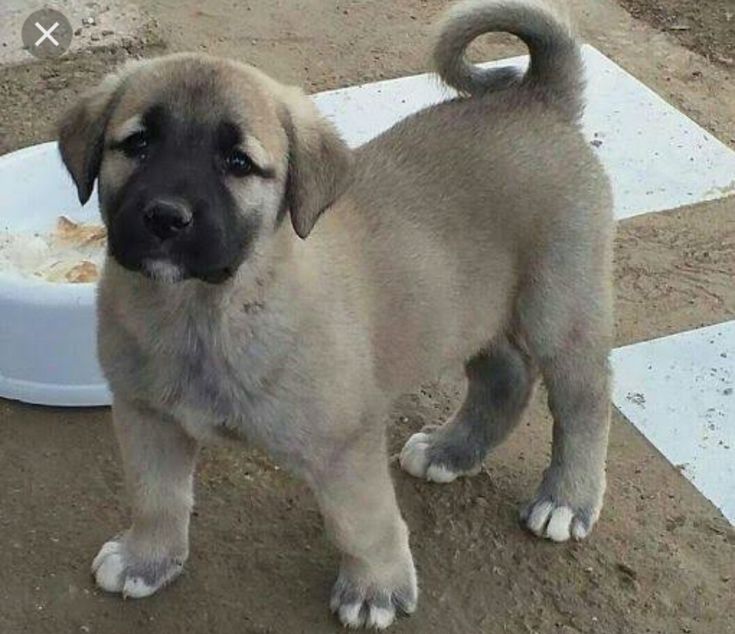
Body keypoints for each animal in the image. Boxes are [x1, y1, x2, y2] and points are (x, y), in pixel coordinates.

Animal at [57, 0, 612, 624]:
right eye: (138, 144)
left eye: (238, 162)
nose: (166, 217)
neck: (206, 310)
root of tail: (537, 97)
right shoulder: (146, 416)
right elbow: (157, 498)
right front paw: (146, 559)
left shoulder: (346, 442)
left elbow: (360, 523)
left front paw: (374, 589)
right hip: (472, 311)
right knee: (506, 377)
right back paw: (451, 450)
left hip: (560, 308)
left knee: (584, 401)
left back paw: (566, 499)